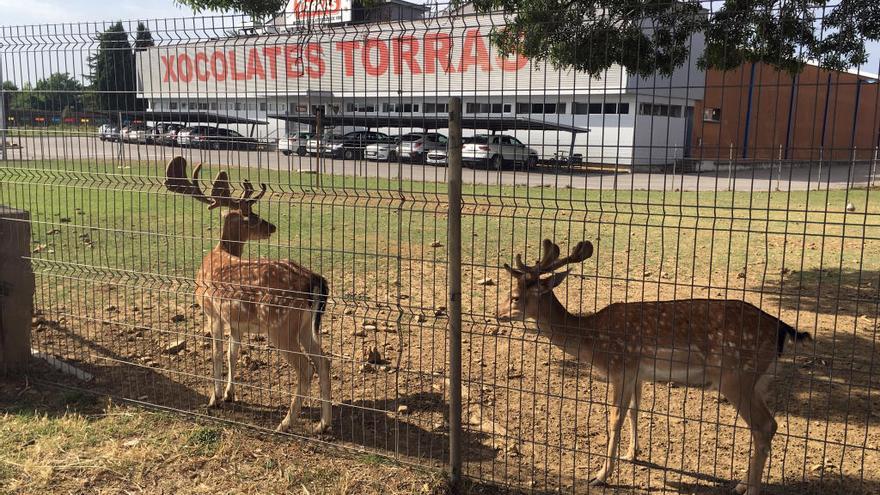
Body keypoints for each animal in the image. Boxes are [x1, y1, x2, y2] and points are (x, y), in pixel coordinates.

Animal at [163, 157, 332, 432]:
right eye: (252, 217)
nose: (271, 227)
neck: (218, 253)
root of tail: (314, 280)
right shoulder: (236, 321)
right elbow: (232, 353)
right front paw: (230, 393)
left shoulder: (212, 312)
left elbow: (216, 353)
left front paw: (214, 398)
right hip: (305, 325)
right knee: (323, 361)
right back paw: (323, 423)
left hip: (281, 325)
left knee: (306, 369)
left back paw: (286, 422)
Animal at [496, 238, 812, 494]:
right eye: (509, 290)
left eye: (515, 297)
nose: (496, 313)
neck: (592, 340)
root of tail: (782, 328)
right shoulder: (638, 373)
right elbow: (636, 411)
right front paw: (632, 454)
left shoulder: (621, 366)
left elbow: (615, 419)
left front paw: (600, 475)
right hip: (759, 379)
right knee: (768, 425)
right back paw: (742, 483)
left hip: (736, 376)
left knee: (764, 425)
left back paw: (750, 489)